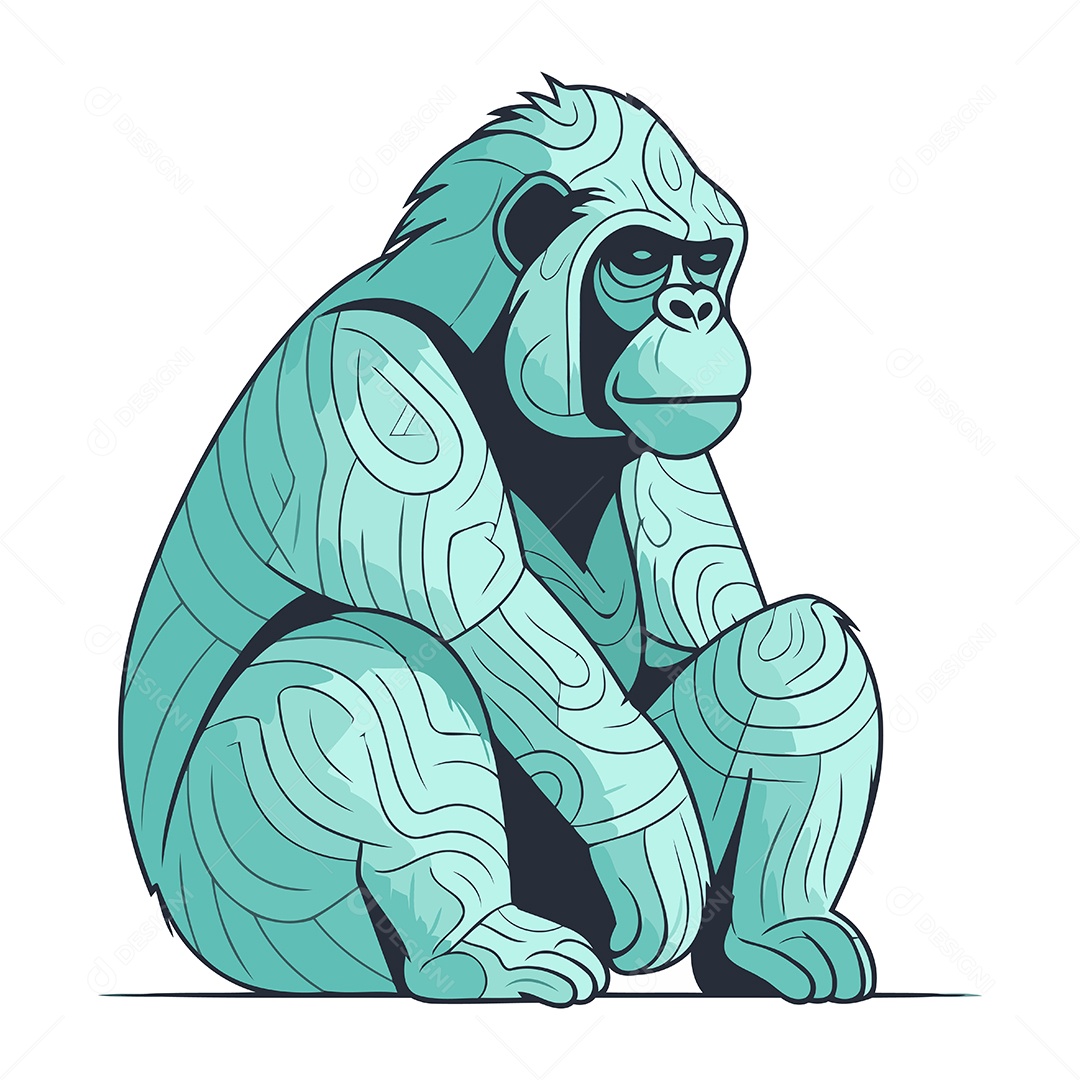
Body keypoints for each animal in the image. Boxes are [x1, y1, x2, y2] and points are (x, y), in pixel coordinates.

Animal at [119, 78, 882, 1005]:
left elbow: (719, 625)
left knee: (800, 644)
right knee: (367, 663)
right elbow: (490, 623)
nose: (696, 308)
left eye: (704, 262)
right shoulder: (373, 380)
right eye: (637, 260)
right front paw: (656, 834)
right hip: (268, 926)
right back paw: (482, 947)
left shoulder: (671, 448)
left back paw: (765, 937)